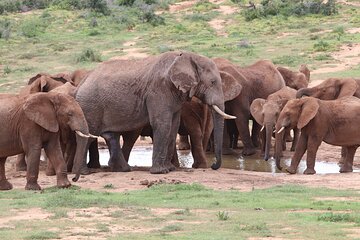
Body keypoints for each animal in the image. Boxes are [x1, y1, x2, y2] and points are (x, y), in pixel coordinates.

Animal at [72, 51, 236, 180]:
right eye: (212, 82)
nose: (213, 166)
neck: (188, 55)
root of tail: (81, 83)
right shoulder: (159, 90)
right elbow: (163, 124)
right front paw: (161, 172)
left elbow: (173, 126)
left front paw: (170, 169)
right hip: (90, 106)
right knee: (89, 135)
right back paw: (84, 173)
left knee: (111, 135)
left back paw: (122, 169)